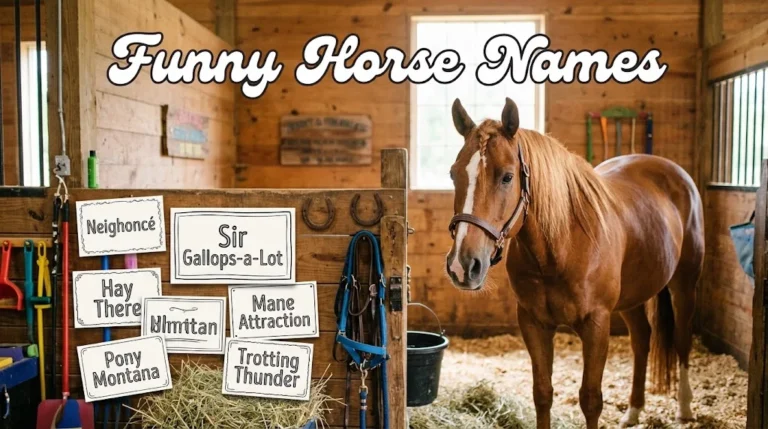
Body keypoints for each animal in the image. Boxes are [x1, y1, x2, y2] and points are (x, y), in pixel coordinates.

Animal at [445, 97, 704, 429]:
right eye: (454, 174)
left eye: (507, 176)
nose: (463, 266)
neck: (561, 247)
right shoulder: (534, 323)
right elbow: (542, 393)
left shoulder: (596, 325)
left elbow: (591, 400)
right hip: (632, 297)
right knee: (641, 341)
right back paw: (634, 410)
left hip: (684, 285)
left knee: (682, 340)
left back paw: (684, 407)